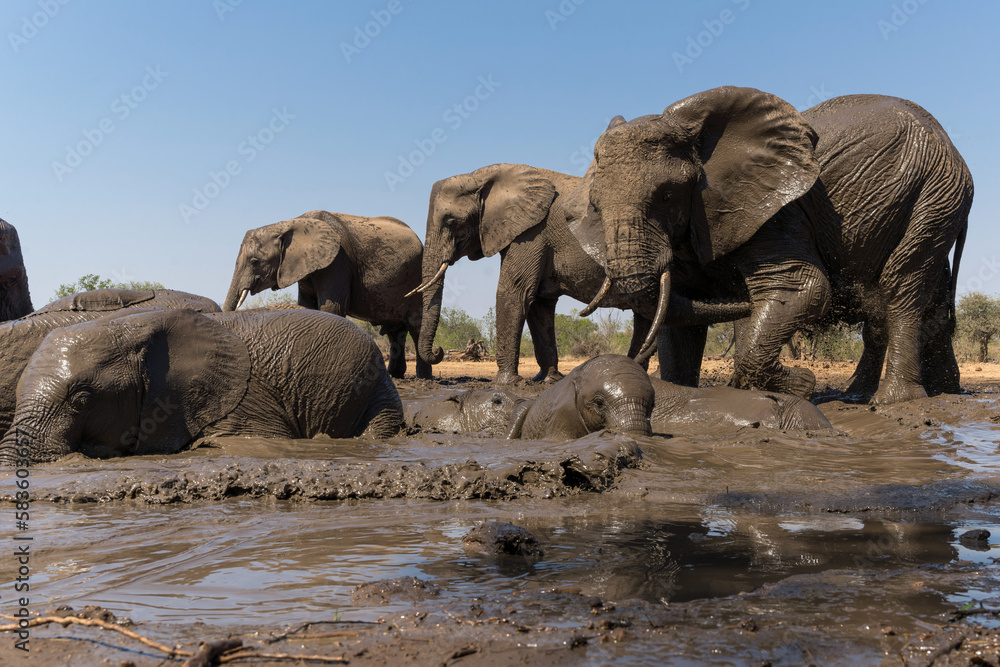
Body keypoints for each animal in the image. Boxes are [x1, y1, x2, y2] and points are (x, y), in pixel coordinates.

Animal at [223, 210, 431, 379]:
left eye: (254, 261)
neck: (290, 223)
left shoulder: (338, 261)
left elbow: (331, 308)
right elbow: (308, 308)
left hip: (417, 274)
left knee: (416, 325)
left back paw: (423, 379)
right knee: (396, 330)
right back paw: (395, 376)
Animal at [410, 163, 751, 386]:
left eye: (451, 222)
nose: (439, 351)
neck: (483, 174)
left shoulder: (532, 232)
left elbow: (515, 293)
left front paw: (507, 384)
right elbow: (539, 305)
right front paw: (548, 379)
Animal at [584, 86, 972, 404]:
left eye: (666, 195)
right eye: (596, 206)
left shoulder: (775, 213)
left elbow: (804, 288)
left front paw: (802, 385)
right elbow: (681, 323)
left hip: (935, 191)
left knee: (899, 287)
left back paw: (894, 400)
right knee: (926, 294)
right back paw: (928, 392)